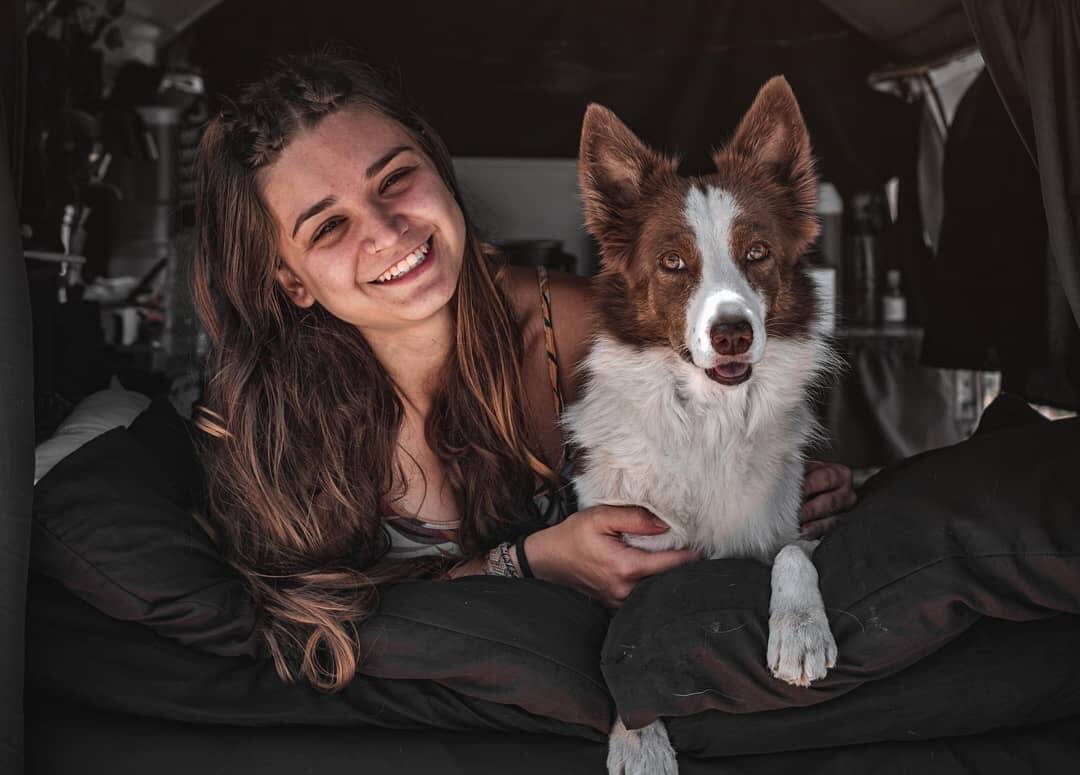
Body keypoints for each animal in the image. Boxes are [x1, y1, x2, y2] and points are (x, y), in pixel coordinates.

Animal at [570, 77, 838, 775]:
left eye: (758, 253)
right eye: (672, 263)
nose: (733, 333)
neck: (709, 421)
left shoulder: (794, 521)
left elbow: (793, 554)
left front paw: (800, 631)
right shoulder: (623, 558)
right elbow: (620, 649)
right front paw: (639, 741)